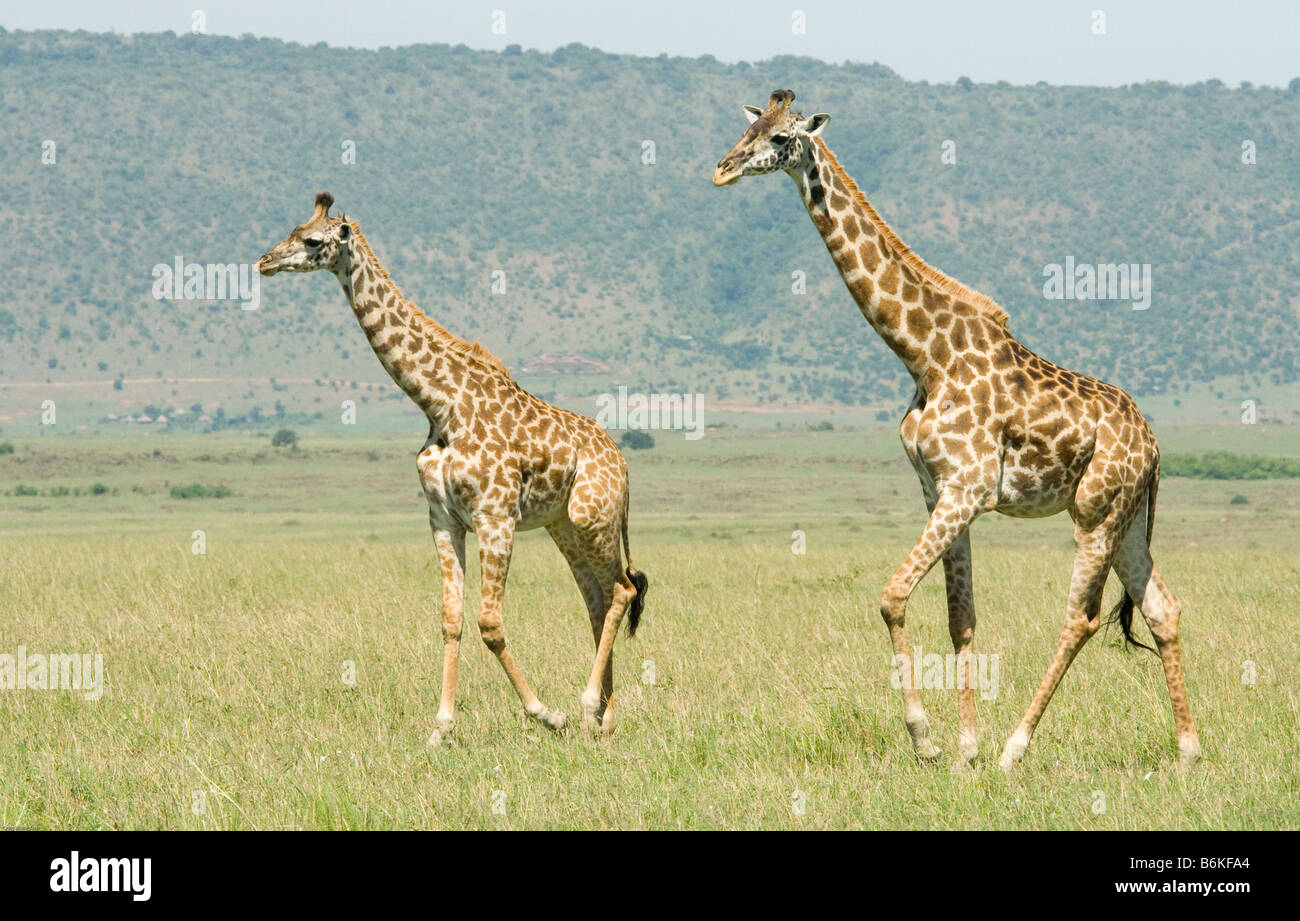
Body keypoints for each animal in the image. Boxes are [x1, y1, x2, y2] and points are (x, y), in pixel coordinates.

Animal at [256, 192, 648, 744]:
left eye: (312, 241)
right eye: (291, 230)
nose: (264, 262)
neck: (440, 403)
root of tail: (622, 462)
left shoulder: (495, 517)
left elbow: (489, 623)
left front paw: (547, 713)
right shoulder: (443, 518)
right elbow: (451, 618)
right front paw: (441, 727)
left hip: (594, 517)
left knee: (622, 590)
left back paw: (589, 704)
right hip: (564, 527)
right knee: (596, 597)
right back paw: (604, 720)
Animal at [714, 91, 1199, 770]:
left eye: (782, 138)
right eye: (749, 126)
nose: (723, 169)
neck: (924, 354)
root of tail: (1155, 447)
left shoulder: (966, 489)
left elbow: (892, 594)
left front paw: (929, 739)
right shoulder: (942, 492)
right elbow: (960, 616)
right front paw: (966, 747)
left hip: (1095, 514)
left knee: (1082, 617)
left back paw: (1016, 749)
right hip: (1127, 520)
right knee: (1162, 608)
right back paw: (1186, 753)